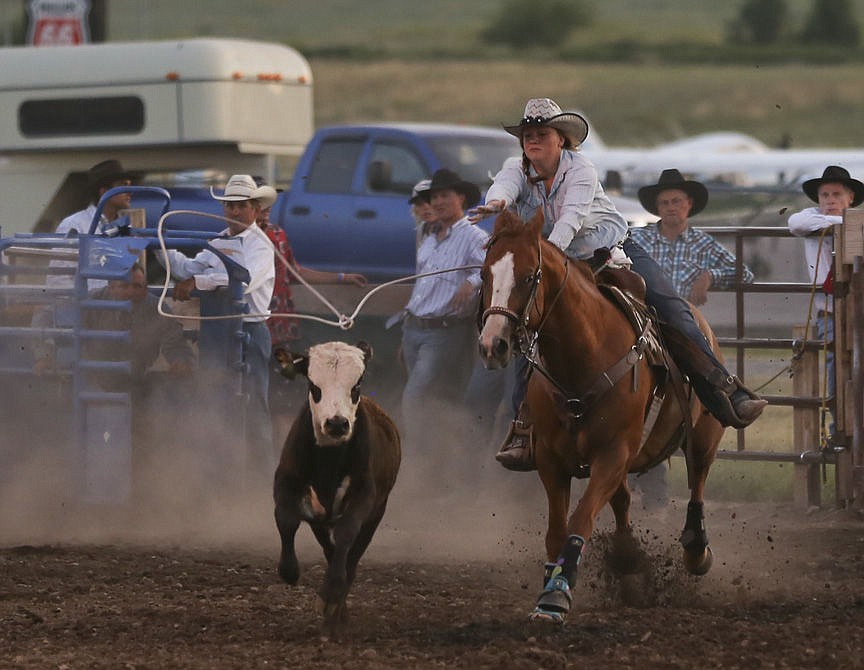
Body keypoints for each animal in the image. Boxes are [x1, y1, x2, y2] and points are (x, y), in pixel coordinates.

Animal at [476, 210, 724, 624]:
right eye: (485, 274)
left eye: (529, 276)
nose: (492, 345)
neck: (583, 356)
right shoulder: (551, 459)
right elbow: (556, 529)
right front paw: (551, 585)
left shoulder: (613, 453)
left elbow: (580, 519)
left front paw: (556, 595)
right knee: (623, 500)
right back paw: (626, 556)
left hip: (705, 433)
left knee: (699, 481)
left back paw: (696, 550)